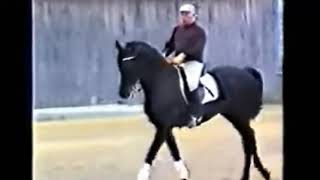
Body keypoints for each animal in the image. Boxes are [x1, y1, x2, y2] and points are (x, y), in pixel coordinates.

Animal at [115, 39, 270, 180]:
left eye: (130, 64)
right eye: (120, 65)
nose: (123, 94)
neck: (161, 83)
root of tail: (246, 72)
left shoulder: (163, 127)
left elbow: (152, 150)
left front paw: (143, 175)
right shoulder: (164, 127)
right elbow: (174, 150)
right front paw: (184, 174)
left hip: (239, 116)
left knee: (249, 141)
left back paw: (253, 174)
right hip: (234, 116)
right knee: (248, 140)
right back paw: (260, 173)